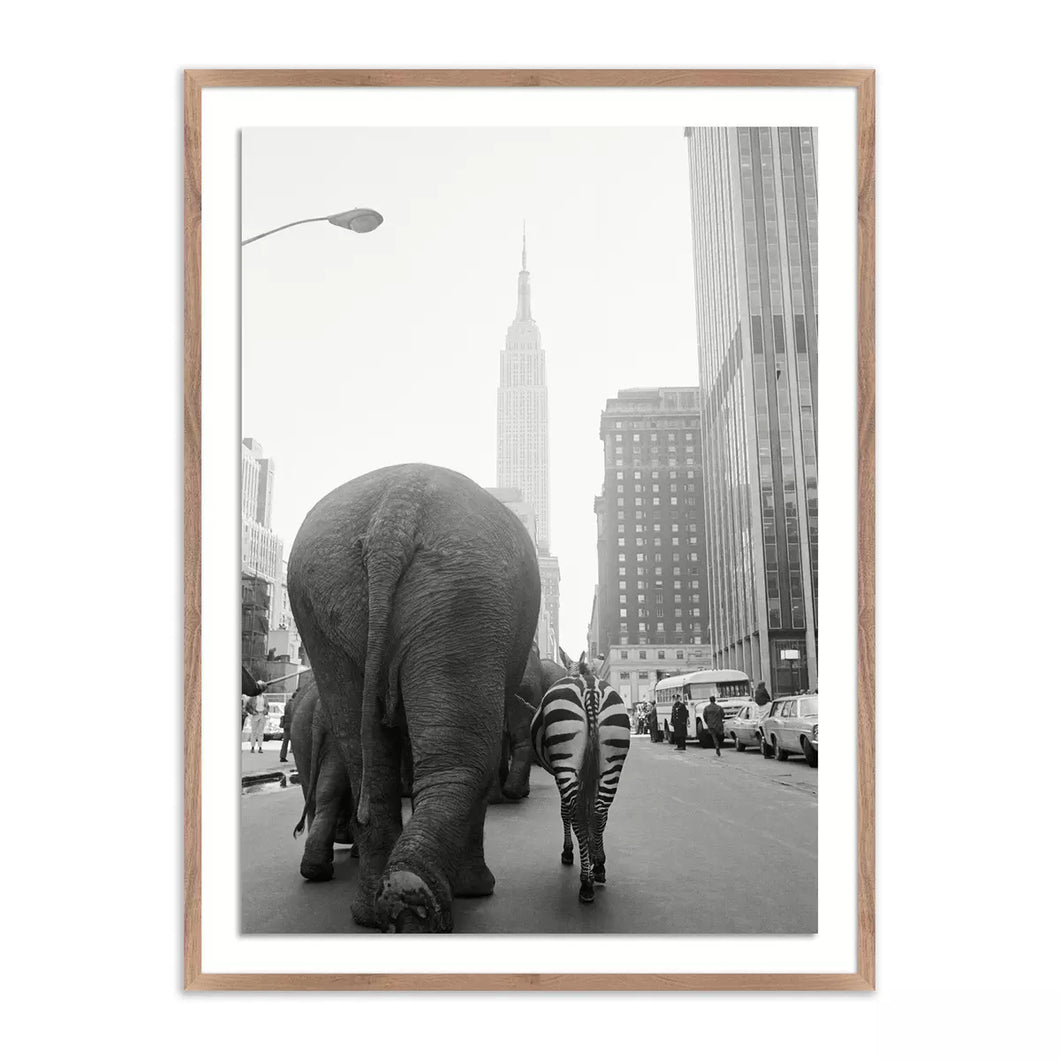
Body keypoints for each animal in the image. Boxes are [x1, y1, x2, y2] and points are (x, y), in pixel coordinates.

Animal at [286, 468, 538, 932]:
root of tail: (398, 503)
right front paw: (474, 890)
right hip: (465, 594)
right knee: (463, 756)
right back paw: (415, 897)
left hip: (328, 599)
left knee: (363, 756)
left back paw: (377, 906)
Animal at [530, 661, 627, 903]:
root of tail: (589, 685)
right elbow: (598, 813)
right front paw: (596, 856)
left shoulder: (558, 774)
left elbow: (565, 812)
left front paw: (569, 852)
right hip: (612, 760)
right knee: (599, 813)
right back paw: (599, 867)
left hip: (565, 760)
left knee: (575, 814)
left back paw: (585, 882)